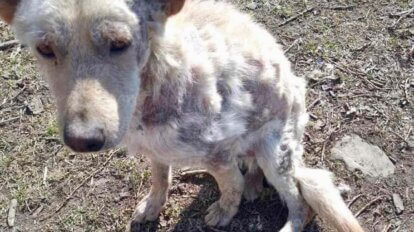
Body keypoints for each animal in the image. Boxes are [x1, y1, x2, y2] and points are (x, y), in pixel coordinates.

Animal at [0, 0, 362, 231]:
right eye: (44, 49)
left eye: (120, 43)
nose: (82, 140)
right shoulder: (156, 150)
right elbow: (160, 178)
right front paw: (152, 206)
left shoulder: (219, 154)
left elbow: (230, 186)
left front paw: (224, 212)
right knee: (256, 174)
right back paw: (249, 185)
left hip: (276, 153)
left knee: (301, 203)